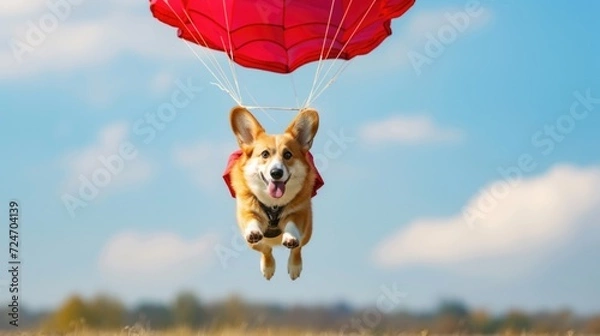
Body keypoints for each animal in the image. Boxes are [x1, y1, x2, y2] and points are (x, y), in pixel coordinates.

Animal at [223, 106, 324, 280]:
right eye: (265, 154)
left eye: (288, 154)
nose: (276, 173)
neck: (273, 203)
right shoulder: (247, 210)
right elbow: (251, 220)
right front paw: (254, 231)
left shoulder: (300, 213)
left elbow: (292, 225)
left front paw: (290, 237)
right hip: (253, 244)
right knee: (265, 249)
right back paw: (268, 267)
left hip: (307, 234)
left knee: (297, 249)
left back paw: (294, 266)